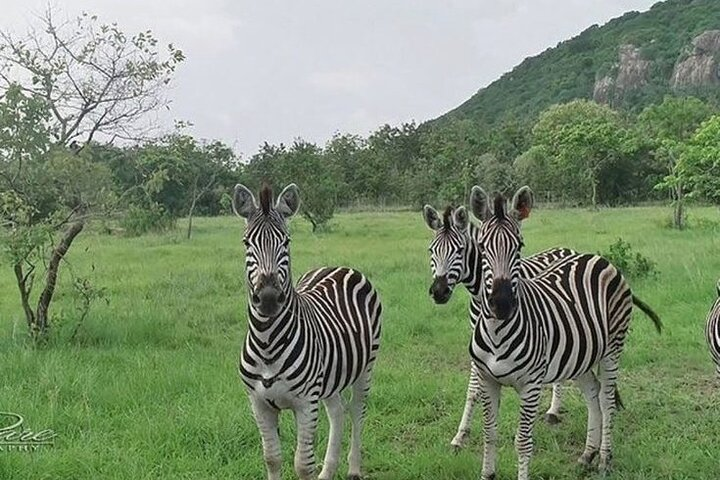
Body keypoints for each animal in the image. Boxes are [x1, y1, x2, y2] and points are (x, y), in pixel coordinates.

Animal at [233, 183, 382, 480]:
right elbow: (272, 458)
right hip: (330, 377)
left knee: (357, 411)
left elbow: (303, 465)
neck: (267, 344)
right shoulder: (258, 404)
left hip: (366, 365)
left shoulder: (305, 402)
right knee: (337, 412)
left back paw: (353, 468)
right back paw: (328, 471)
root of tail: (340, 267)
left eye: (286, 242)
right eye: (246, 243)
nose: (268, 298)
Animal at [422, 204, 576, 450]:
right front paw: (460, 435)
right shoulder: (479, 344)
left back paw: (553, 410)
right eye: (431, 250)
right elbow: (472, 391)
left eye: (459, 250)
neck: (479, 293)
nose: (439, 292)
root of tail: (566, 248)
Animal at [467, 185, 662, 480]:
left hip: (613, 347)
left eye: (519, 246)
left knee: (606, 399)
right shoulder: (488, 379)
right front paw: (487, 473)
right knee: (593, 393)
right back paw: (587, 455)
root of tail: (598, 258)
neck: (497, 332)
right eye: (481, 247)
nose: (502, 304)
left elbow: (522, 442)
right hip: (580, 355)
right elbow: (489, 433)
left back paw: (604, 459)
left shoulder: (531, 384)